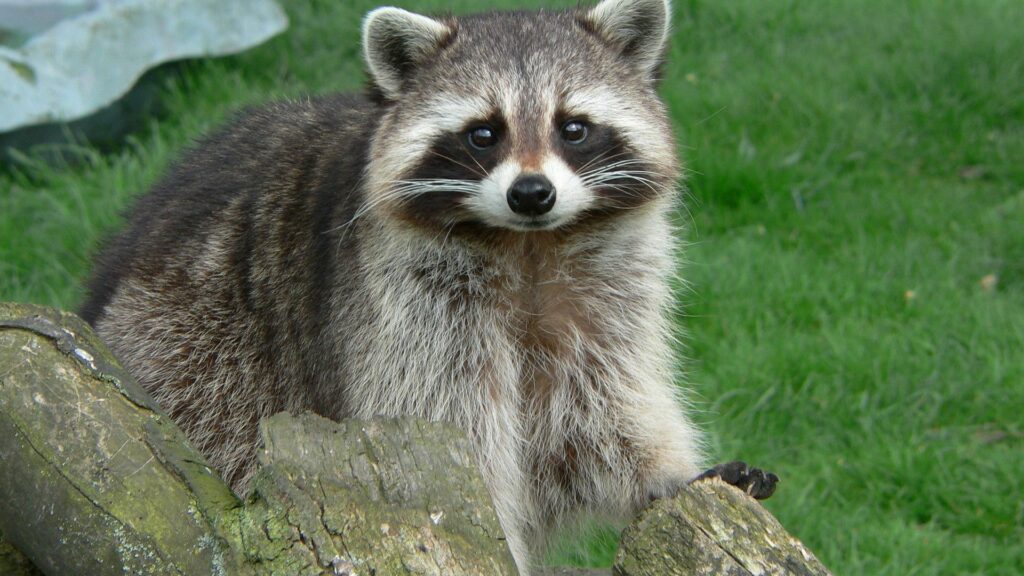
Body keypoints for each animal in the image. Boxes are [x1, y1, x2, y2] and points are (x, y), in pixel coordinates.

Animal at [81, 0, 774, 571]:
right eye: (484, 133)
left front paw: (666, 476)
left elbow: (599, 412)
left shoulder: (607, 297)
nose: (532, 193)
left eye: (573, 127)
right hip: (193, 347)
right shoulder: (407, 308)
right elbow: (447, 425)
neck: (529, 245)